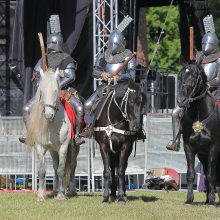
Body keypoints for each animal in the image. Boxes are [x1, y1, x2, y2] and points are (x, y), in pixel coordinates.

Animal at [26, 68, 79, 201]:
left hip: (74, 148)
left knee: (72, 166)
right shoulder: (40, 147)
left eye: (55, 91)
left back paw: (71, 191)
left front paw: (61, 195)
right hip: (52, 150)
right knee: (55, 166)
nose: (49, 115)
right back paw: (55, 190)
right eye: (42, 91)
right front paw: (40, 196)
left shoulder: (64, 147)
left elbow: (61, 170)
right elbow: (42, 171)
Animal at [178, 61, 220, 205]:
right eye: (180, 77)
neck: (199, 117)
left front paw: (212, 202)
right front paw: (189, 200)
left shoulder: (214, 147)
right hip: (203, 155)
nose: (182, 100)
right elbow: (191, 174)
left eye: (194, 77)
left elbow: (212, 175)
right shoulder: (190, 147)